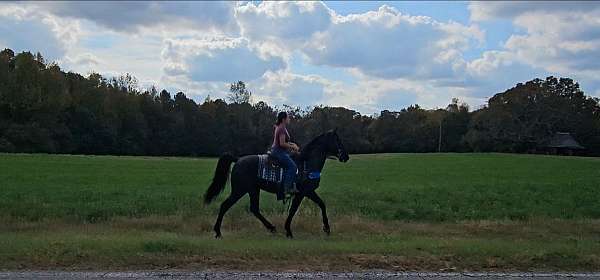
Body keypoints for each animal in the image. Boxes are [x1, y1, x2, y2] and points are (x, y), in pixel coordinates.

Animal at [204, 130, 350, 238]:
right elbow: (294, 210)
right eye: (338, 140)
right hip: (239, 190)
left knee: (254, 209)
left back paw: (271, 228)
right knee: (225, 205)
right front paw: (289, 231)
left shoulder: (308, 192)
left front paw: (326, 228)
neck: (306, 163)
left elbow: (321, 204)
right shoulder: (303, 192)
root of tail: (238, 159)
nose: (346, 156)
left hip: (253, 190)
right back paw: (218, 232)